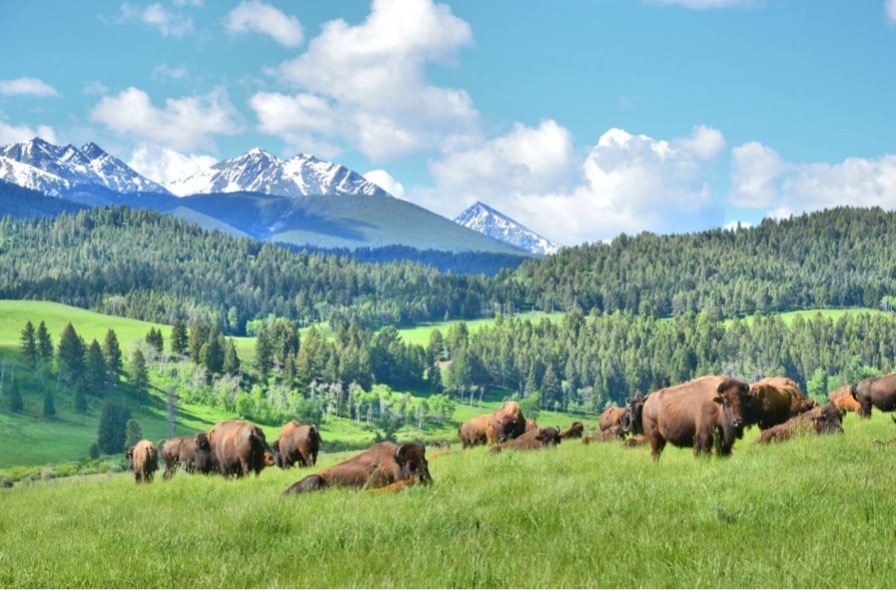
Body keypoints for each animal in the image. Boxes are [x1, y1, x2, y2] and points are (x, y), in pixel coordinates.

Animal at [283, 441, 432, 495]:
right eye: (411, 466)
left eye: (426, 462)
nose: (426, 480)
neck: (394, 463)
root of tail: (284, 494)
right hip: (315, 479)